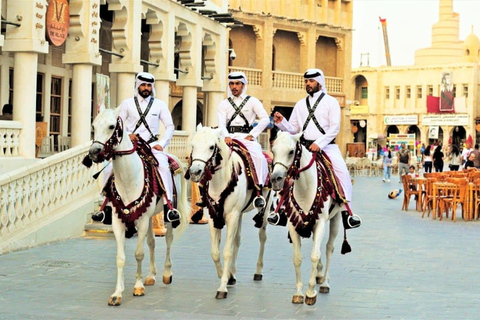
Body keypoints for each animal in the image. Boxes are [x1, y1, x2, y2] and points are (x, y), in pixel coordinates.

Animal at [87, 106, 188, 306]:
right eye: (94, 125)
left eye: (112, 126)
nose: (94, 151)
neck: (129, 178)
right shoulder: (119, 221)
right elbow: (121, 258)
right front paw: (117, 293)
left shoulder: (141, 222)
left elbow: (139, 253)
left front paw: (138, 287)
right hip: (148, 218)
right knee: (152, 242)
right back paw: (150, 276)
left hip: (167, 216)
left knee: (168, 240)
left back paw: (166, 274)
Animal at [187, 125, 274, 300]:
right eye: (193, 145)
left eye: (211, 147)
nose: (195, 171)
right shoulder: (214, 217)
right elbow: (215, 252)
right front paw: (225, 276)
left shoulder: (232, 215)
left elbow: (227, 251)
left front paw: (222, 287)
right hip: (239, 213)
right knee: (237, 240)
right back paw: (232, 274)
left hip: (264, 209)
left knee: (262, 237)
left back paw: (258, 271)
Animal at [270, 132, 344, 304]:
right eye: (273, 150)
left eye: (291, 152)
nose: (275, 178)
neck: (305, 188)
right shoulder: (294, 225)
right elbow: (297, 258)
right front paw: (298, 292)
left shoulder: (321, 223)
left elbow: (314, 255)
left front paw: (310, 292)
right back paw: (319, 275)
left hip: (336, 218)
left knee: (329, 248)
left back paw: (324, 283)